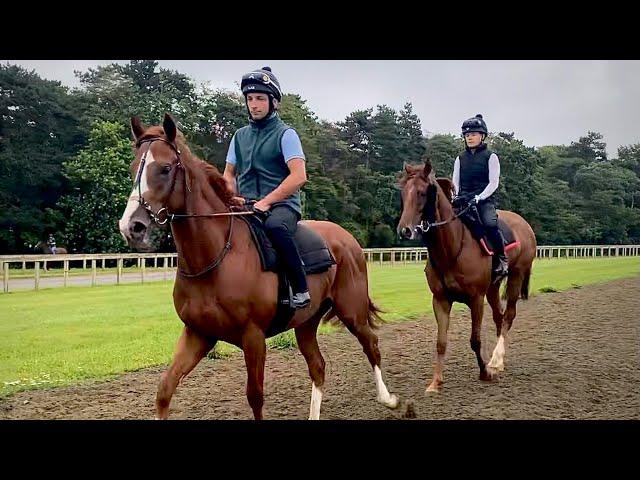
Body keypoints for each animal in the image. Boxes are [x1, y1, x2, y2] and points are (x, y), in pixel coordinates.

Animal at [115, 114, 396, 418]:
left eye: (165, 169)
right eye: (133, 168)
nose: (132, 226)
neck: (216, 259)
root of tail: (348, 240)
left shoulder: (253, 337)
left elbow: (255, 396)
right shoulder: (198, 334)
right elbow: (165, 389)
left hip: (351, 311)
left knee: (372, 345)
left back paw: (389, 399)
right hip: (306, 323)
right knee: (318, 366)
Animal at [398, 159, 536, 392]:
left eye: (422, 192)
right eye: (403, 191)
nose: (404, 230)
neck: (452, 249)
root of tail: (524, 224)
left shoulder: (476, 299)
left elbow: (475, 339)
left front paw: (485, 373)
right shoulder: (440, 299)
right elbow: (441, 342)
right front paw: (435, 382)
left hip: (516, 276)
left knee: (508, 315)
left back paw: (496, 360)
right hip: (493, 287)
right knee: (499, 316)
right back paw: (497, 360)